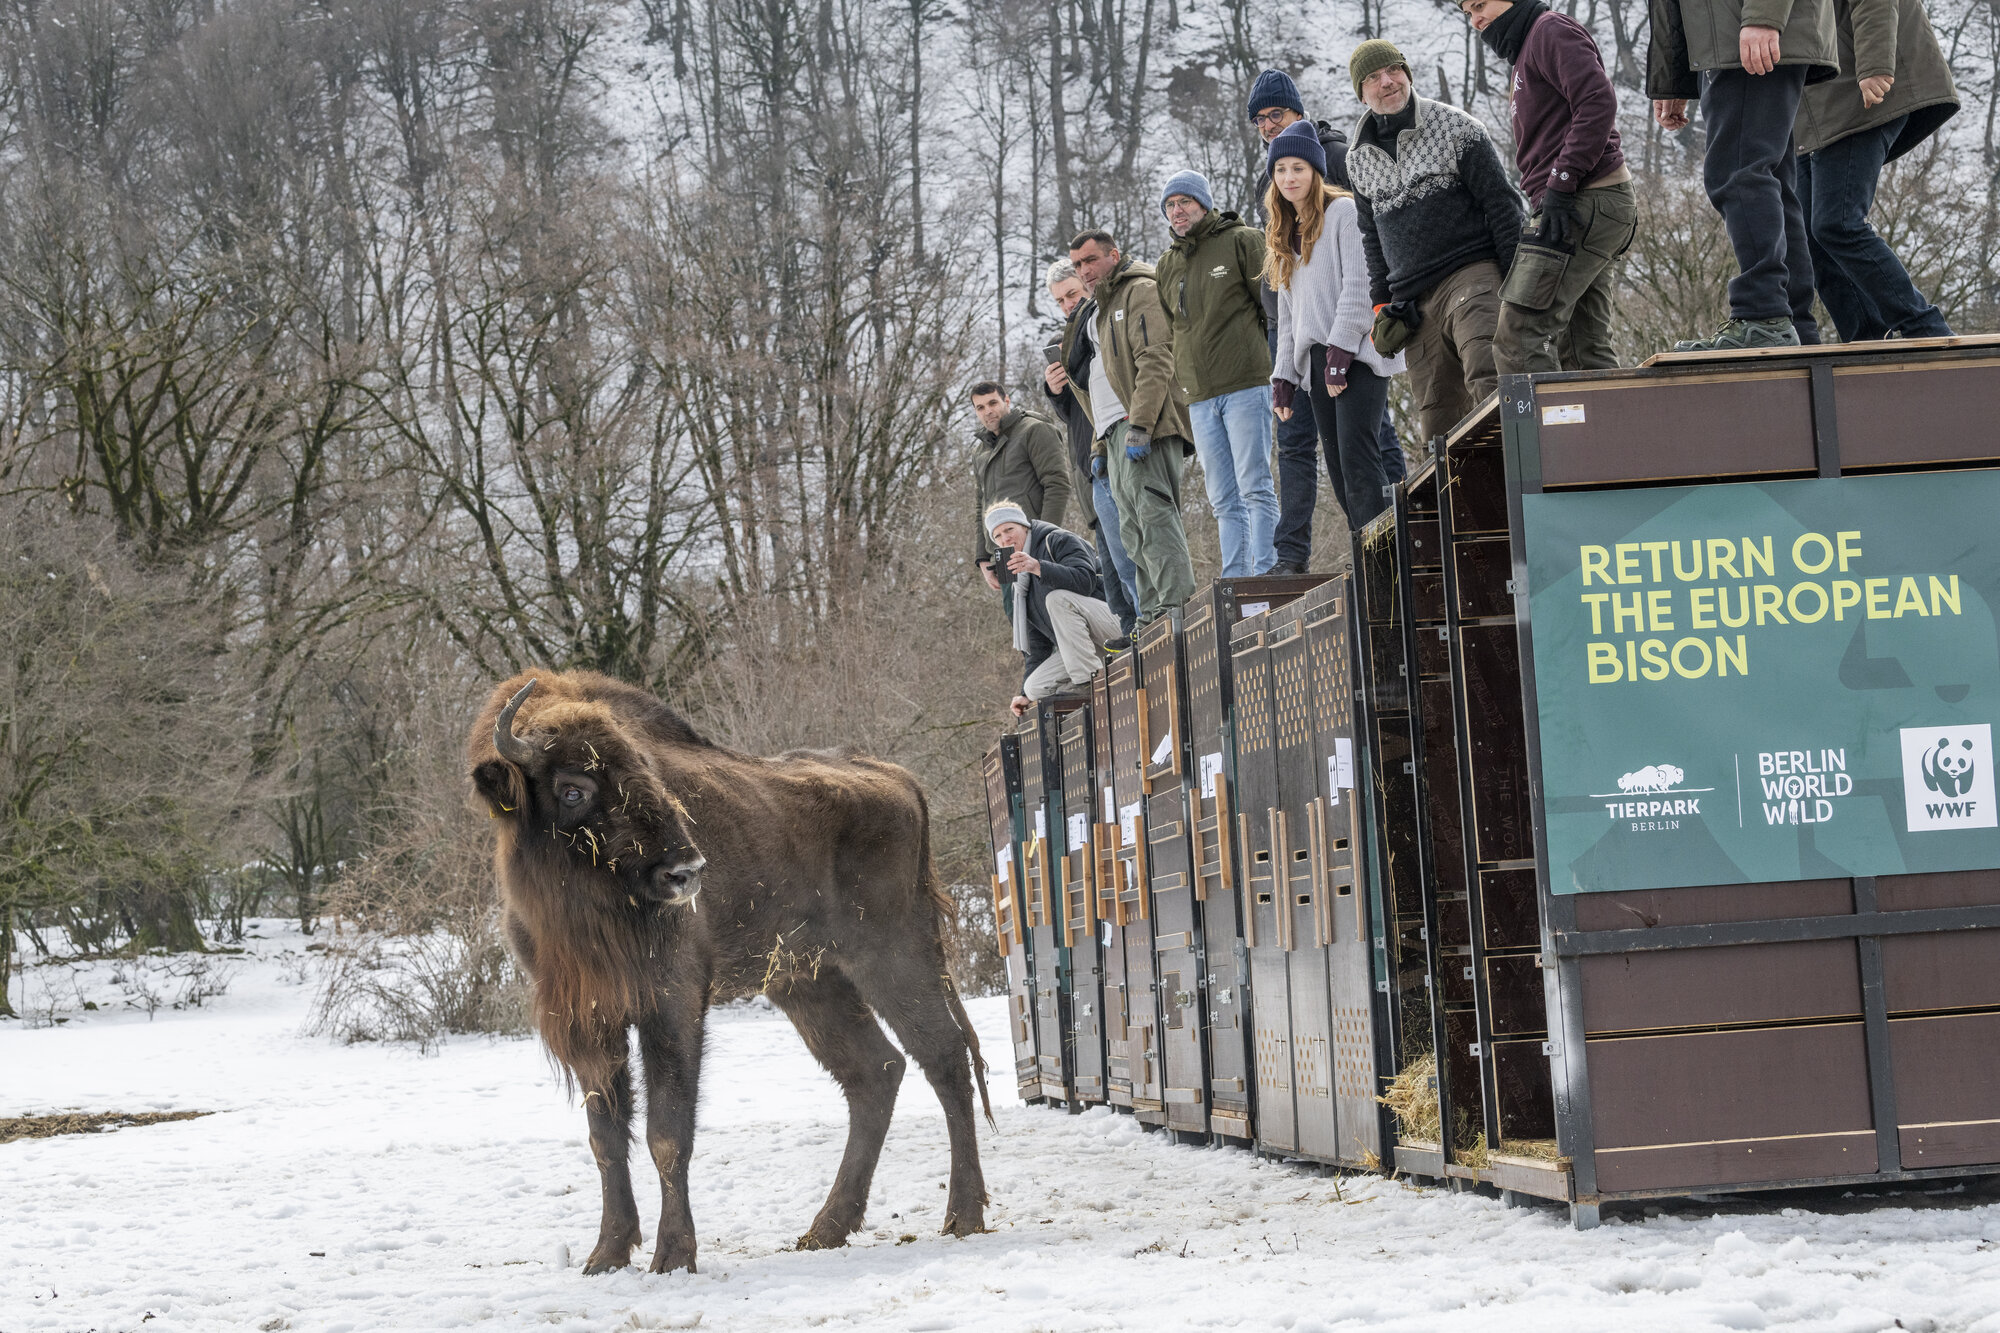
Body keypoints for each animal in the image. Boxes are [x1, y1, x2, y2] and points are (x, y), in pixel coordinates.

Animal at [468, 670, 990, 1275]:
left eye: (649, 772)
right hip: (810, 983)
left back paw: (963, 1216)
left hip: (895, 959)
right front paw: (607, 1254)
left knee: (944, 1056)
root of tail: (899, 779)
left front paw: (673, 1256)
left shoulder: (672, 1005)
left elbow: (667, 1133)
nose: (685, 870)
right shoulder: (591, 1024)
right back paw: (826, 1230)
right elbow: (606, 1138)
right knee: (876, 1071)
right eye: (573, 787)